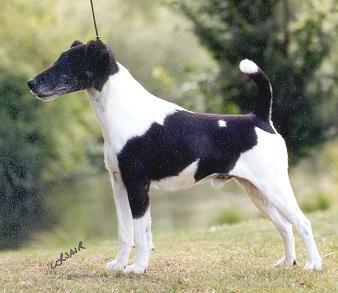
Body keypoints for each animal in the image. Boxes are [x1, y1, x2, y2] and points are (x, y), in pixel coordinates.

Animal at [27, 38, 322, 272]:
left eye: (68, 64)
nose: (30, 83)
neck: (121, 109)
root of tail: (260, 119)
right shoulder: (119, 184)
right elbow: (126, 232)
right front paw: (120, 265)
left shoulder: (137, 185)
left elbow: (140, 234)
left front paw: (137, 269)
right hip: (256, 192)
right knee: (285, 226)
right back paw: (287, 263)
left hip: (274, 187)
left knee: (303, 222)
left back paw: (312, 265)